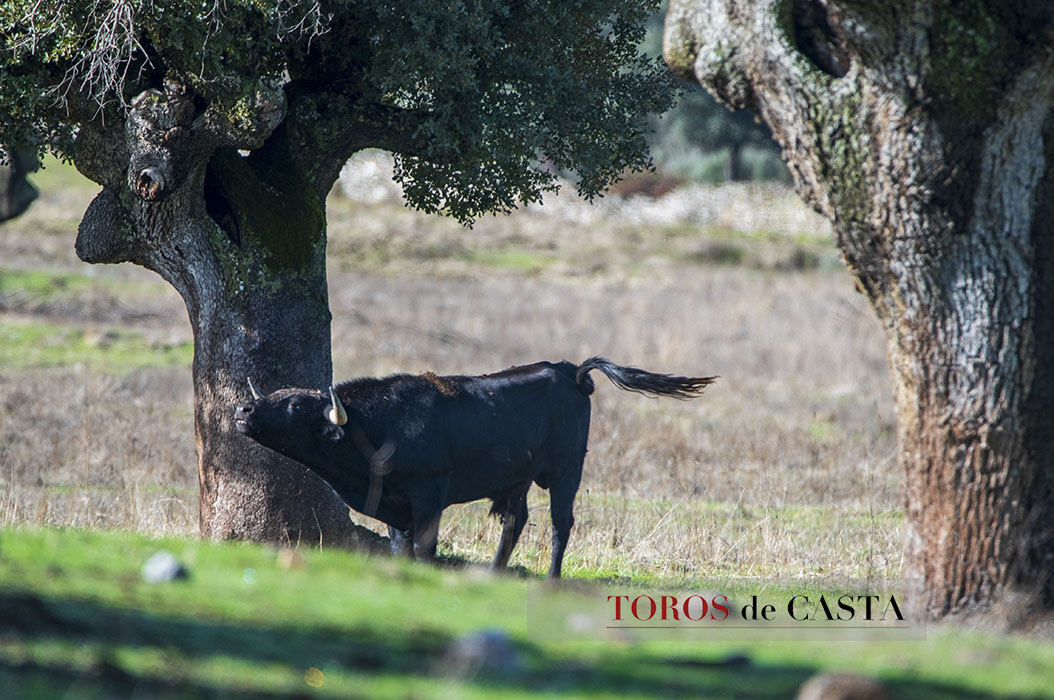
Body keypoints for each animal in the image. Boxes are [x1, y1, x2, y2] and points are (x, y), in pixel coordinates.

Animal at [234, 357, 715, 578]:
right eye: (276, 396)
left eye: (295, 405)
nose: (242, 409)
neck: (379, 426)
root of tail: (571, 371)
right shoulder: (396, 505)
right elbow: (400, 545)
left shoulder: (429, 495)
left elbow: (424, 545)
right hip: (518, 480)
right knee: (515, 521)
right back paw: (495, 571)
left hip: (565, 474)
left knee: (561, 524)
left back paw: (552, 578)